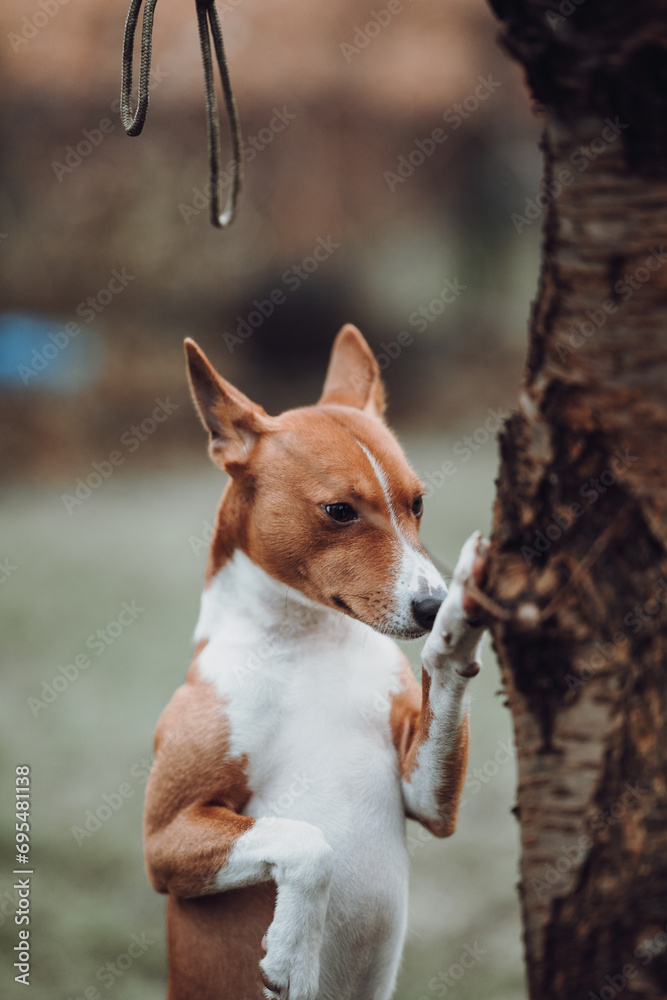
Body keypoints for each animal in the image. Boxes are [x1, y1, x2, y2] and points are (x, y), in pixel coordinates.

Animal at [145, 328, 490, 1000]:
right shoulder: (165, 841)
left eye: (418, 503)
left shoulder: (426, 800)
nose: (432, 605)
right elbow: (310, 842)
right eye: (339, 512)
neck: (309, 646)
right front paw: (293, 957)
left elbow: (443, 692)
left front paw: (459, 630)